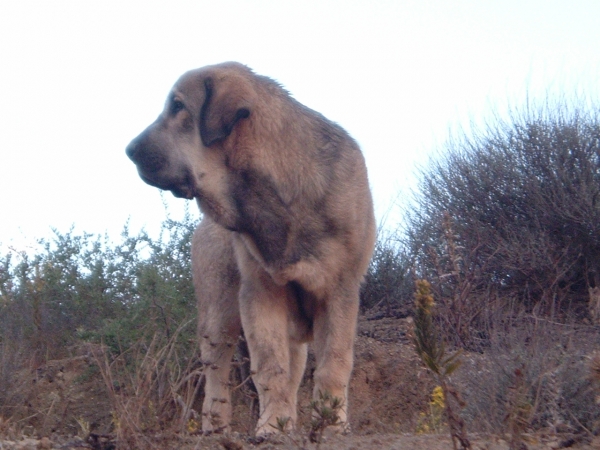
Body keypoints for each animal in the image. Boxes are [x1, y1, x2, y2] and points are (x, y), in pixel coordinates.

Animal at [126, 63, 376, 436]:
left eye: (178, 106)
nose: (128, 150)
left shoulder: (340, 292)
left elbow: (333, 365)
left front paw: (331, 426)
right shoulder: (260, 293)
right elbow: (270, 368)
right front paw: (271, 427)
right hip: (218, 319)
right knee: (217, 379)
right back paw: (216, 427)